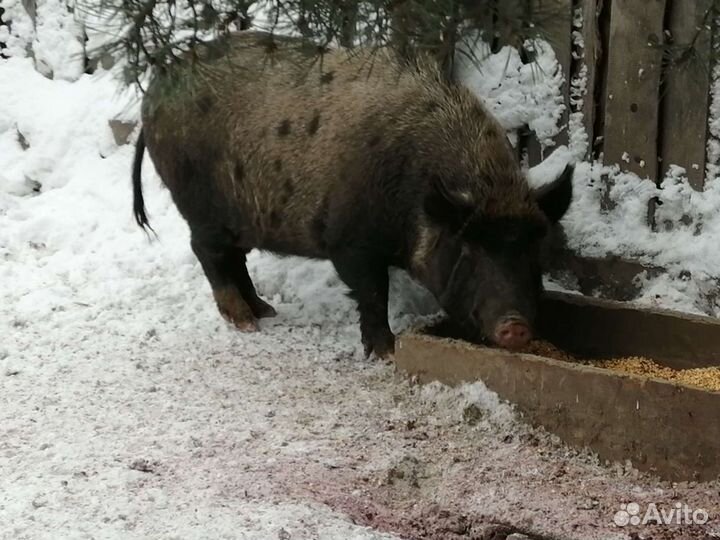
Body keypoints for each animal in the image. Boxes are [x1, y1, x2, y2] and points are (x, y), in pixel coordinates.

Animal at [132, 30, 573, 358]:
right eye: (469, 250)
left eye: (532, 250)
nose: (516, 327)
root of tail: (156, 86)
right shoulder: (350, 243)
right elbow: (374, 294)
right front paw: (386, 353)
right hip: (198, 203)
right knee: (208, 254)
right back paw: (246, 322)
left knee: (235, 259)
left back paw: (266, 311)